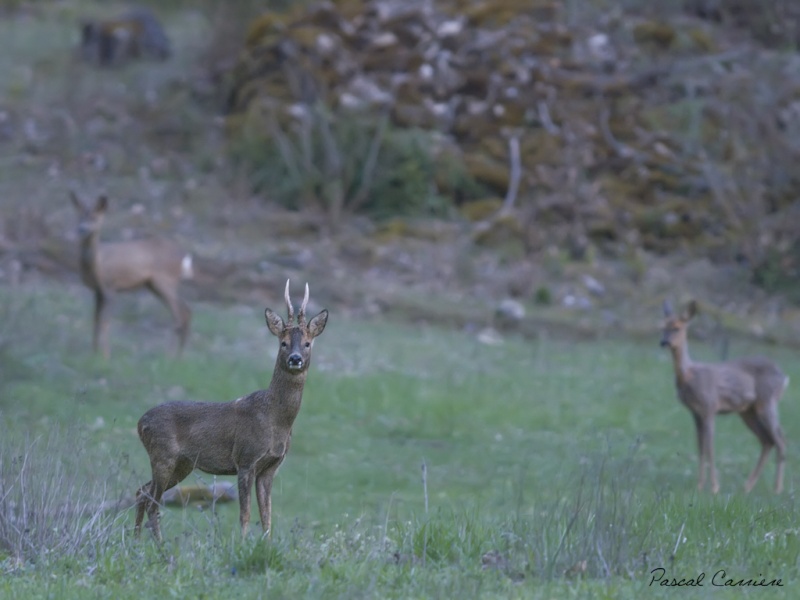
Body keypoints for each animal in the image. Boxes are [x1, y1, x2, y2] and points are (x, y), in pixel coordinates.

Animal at [69, 191, 193, 356]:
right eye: (79, 216)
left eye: (94, 217)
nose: (81, 229)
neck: (98, 265)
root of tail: (184, 256)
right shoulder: (98, 291)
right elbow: (95, 320)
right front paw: (94, 353)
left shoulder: (110, 287)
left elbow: (105, 322)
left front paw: (105, 356)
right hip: (154, 284)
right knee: (186, 310)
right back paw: (179, 357)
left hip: (165, 280)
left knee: (179, 315)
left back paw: (169, 356)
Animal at [134, 280, 328, 540]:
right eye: (283, 343)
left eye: (307, 343)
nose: (295, 358)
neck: (276, 421)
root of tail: (139, 423)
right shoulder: (245, 459)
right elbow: (245, 513)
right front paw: (243, 543)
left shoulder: (270, 467)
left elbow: (267, 516)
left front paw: (266, 544)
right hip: (162, 455)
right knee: (152, 501)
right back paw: (158, 544)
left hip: (182, 464)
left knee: (141, 492)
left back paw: (135, 540)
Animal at [664, 300, 788, 492]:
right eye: (662, 326)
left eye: (677, 327)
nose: (663, 342)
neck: (688, 375)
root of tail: (783, 377)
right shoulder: (695, 413)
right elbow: (700, 447)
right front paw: (700, 486)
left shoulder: (709, 406)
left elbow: (710, 446)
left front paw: (714, 487)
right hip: (747, 411)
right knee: (767, 440)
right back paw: (748, 486)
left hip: (767, 402)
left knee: (780, 440)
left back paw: (777, 489)